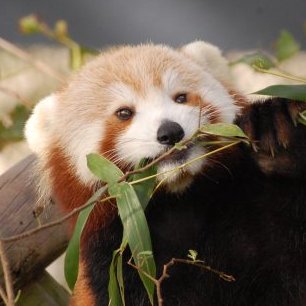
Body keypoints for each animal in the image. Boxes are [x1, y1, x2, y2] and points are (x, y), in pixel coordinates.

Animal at [25, 41, 306, 306]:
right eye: (124, 113)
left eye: (180, 97)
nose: (170, 132)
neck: (179, 202)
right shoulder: (118, 260)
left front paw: (274, 128)